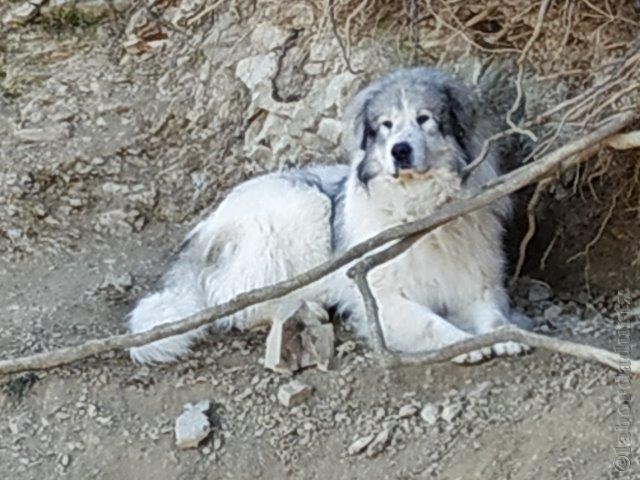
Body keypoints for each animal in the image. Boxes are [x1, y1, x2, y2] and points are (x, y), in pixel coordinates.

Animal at [127, 67, 528, 364]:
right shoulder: (382, 300)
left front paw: (503, 334)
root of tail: (209, 225)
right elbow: (430, 323)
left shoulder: (478, 283)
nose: (399, 151)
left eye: (424, 119)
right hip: (304, 209)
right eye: (386, 125)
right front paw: (465, 344)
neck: (420, 209)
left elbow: (492, 314)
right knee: (240, 303)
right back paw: (304, 309)